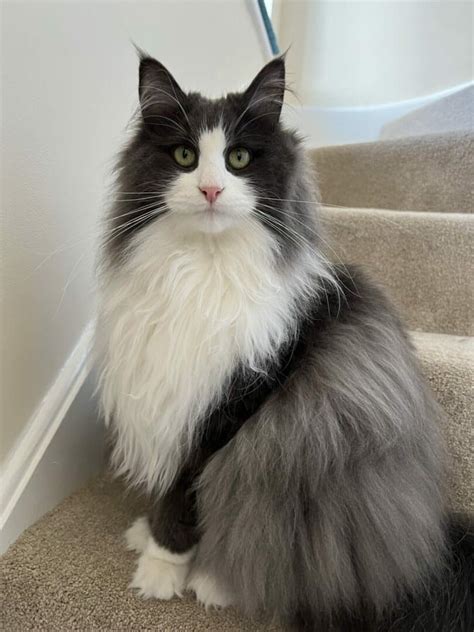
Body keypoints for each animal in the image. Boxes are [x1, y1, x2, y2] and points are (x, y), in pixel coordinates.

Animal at [97, 55, 474, 632]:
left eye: (238, 158)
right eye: (185, 156)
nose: (211, 191)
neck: (202, 271)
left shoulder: (225, 412)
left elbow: (183, 496)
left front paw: (162, 569)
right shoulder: (168, 401)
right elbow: (167, 491)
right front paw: (151, 540)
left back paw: (215, 583)